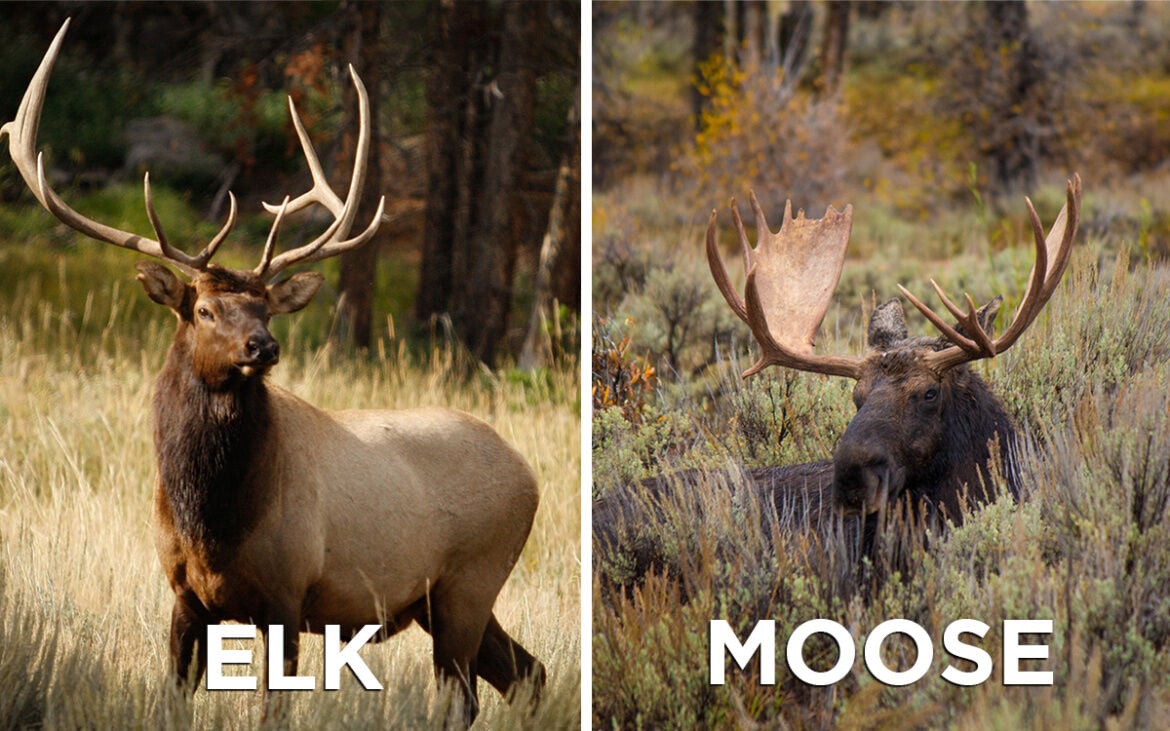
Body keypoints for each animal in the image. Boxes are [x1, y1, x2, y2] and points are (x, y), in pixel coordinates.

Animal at [2, 20, 543, 724]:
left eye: (263, 306)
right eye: (203, 309)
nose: (263, 346)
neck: (213, 523)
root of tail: (528, 474)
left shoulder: (288, 594)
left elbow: (270, 709)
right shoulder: (184, 595)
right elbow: (174, 698)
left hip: (469, 582)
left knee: (469, 696)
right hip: (441, 600)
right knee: (527, 673)